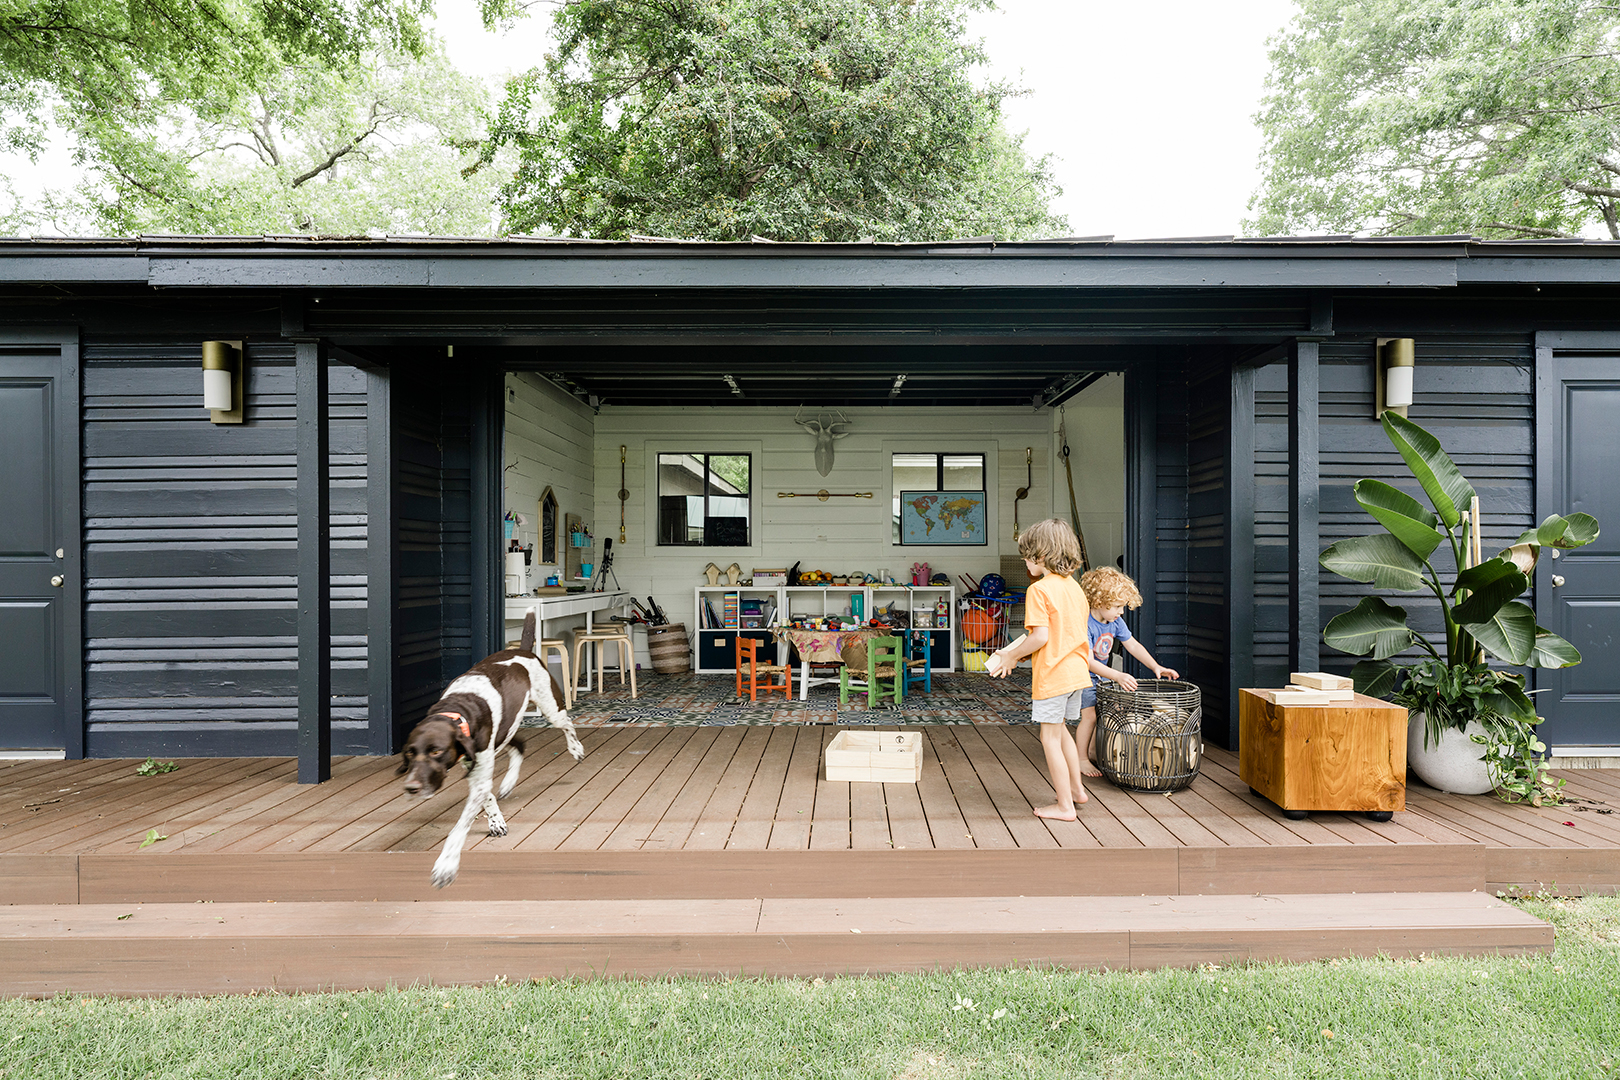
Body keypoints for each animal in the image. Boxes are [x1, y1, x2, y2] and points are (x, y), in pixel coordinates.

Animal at [396, 608, 586, 887]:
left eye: (436, 751)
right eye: (410, 752)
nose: (411, 788)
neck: (457, 710)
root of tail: (525, 651)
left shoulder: (479, 770)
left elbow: (458, 829)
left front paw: (446, 865)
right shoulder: (475, 768)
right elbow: (487, 797)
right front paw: (496, 821)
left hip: (551, 708)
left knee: (568, 725)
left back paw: (576, 749)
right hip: (506, 730)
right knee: (519, 745)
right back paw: (507, 784)